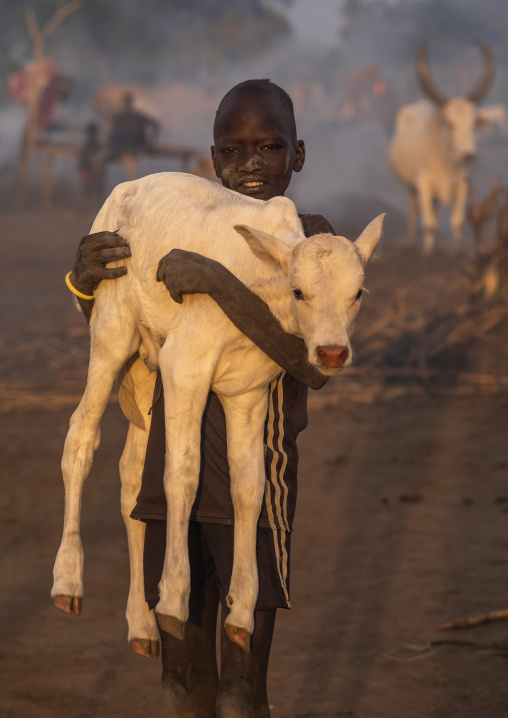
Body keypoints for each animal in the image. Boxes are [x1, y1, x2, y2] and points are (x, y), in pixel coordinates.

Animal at [389, 40, 495, 254]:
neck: (447, 162)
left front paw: (456, 250)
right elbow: (429, 224)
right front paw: (428, 252)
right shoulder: (423, 184)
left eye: (473, 123)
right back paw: (411, 241)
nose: (468, 155)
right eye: (449, 123)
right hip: (410, 187)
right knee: (415, 210)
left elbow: (456, 223)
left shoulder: (463, 185)